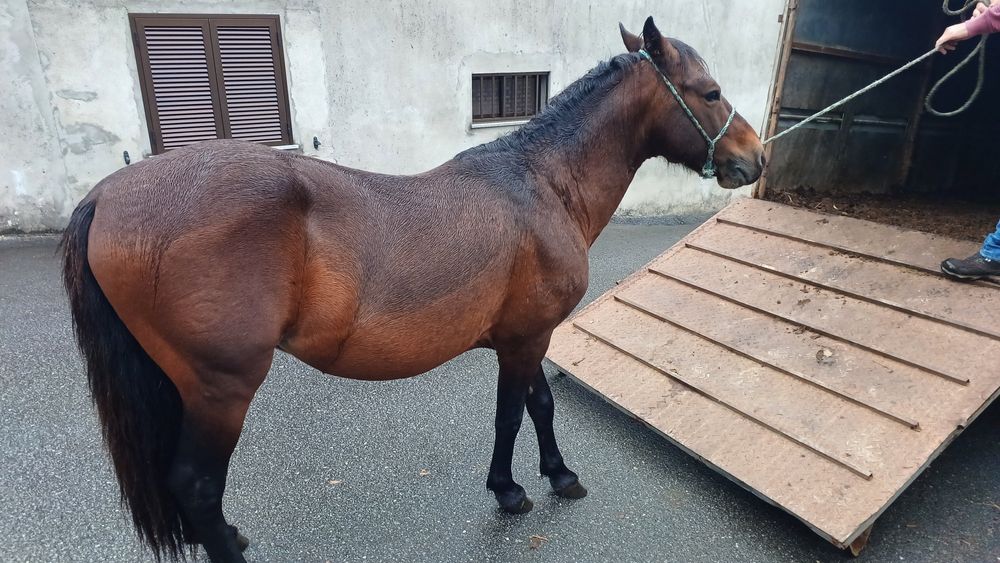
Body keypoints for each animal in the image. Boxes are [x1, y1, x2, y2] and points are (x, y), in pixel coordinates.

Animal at [61, 16, 764, 562]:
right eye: (709, 91)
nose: (753, 158)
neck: (540, 183)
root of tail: (106, 197)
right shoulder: (525, 339)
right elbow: (513, 412)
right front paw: (511, 491)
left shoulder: (528, 335)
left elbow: (539, 405)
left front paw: (558, 475)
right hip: (220, 388)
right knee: (198, 488)